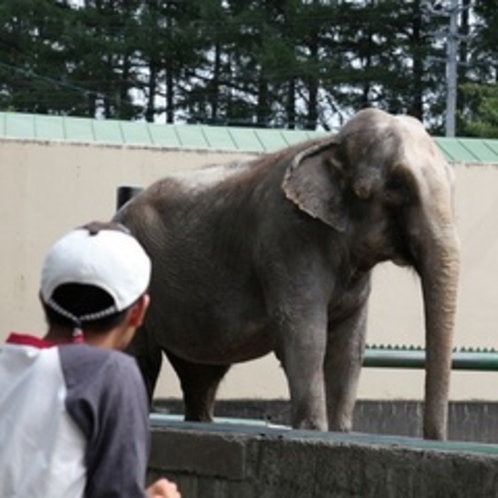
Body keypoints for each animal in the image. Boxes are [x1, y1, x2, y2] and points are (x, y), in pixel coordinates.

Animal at [114, 108, 460, 440]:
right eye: (397, 186)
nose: (433, 438)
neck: (329, 144)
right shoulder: (287, 238)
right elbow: (306, 333)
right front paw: (313, 430)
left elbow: (349, 346)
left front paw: (339, 432)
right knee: (141, 358)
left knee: (201, 375)